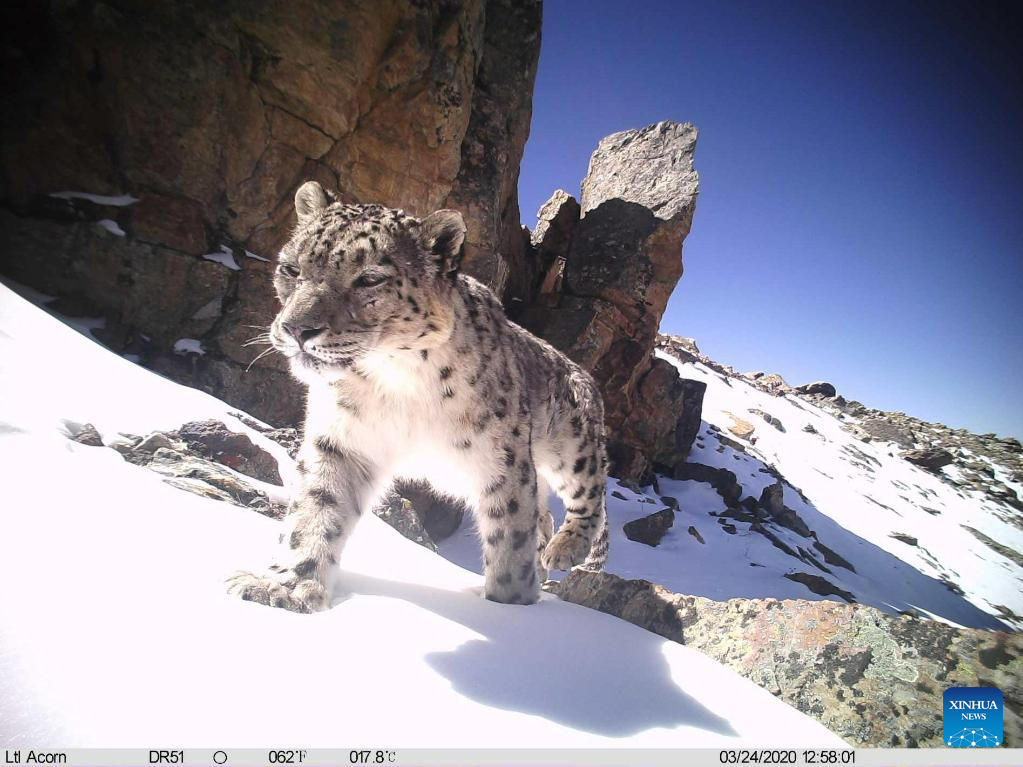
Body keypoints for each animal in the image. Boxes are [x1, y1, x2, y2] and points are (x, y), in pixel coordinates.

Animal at [226, 182, 605, 613]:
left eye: (369, 279)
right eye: (291, 269)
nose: (296, 329)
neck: (395, 381)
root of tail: (584, 374)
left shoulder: (501, 462)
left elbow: (510, 536)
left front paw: (510, 605)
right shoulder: (341, 442)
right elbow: (315, 508)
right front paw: (286, 587)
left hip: (570, 447)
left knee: (590, 495)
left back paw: (563, 550)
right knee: (543, 512)